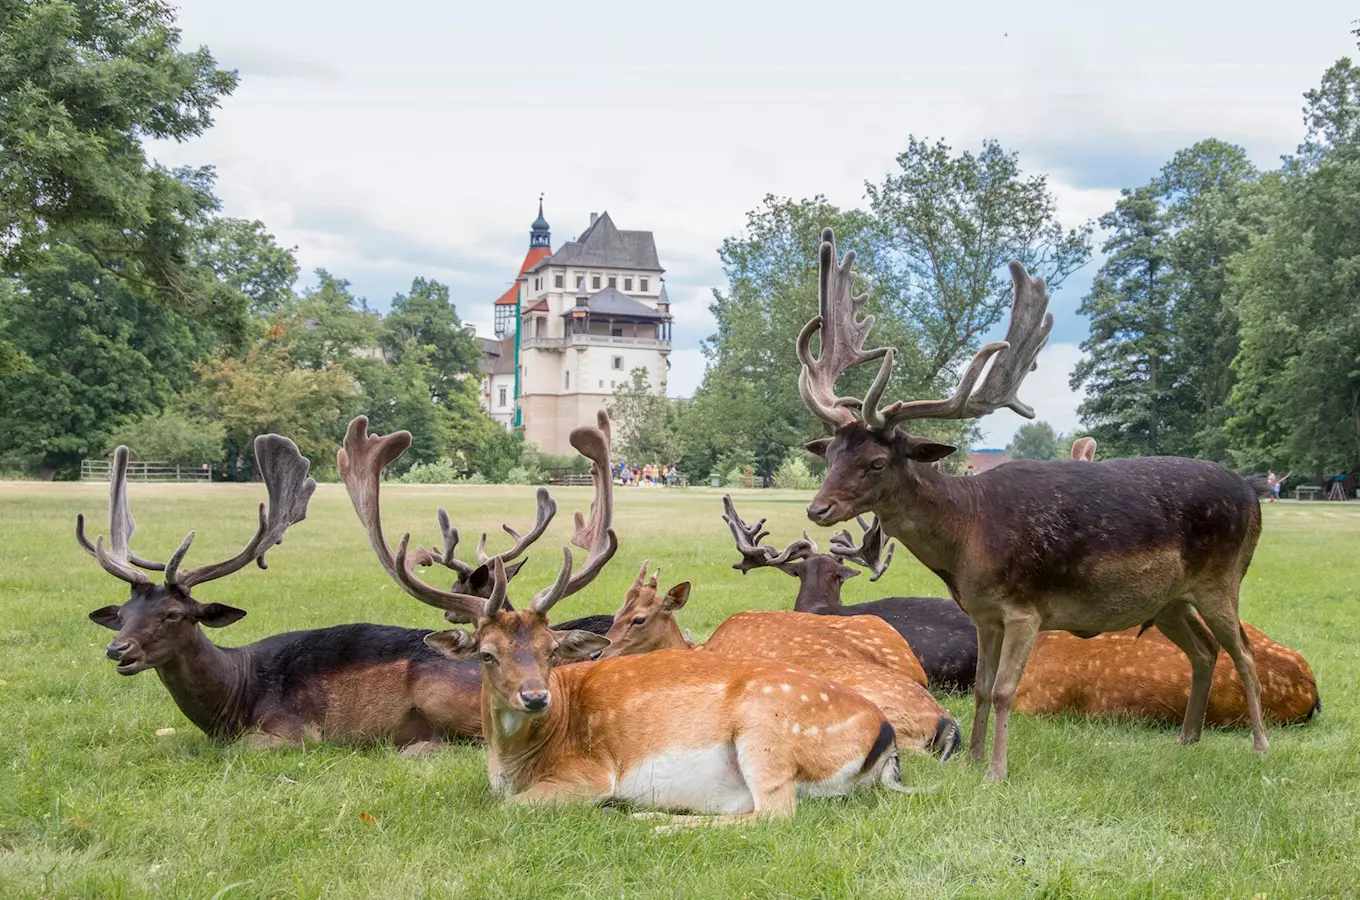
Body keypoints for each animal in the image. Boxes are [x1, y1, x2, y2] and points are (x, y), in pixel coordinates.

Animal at [799, 227, 1267, 783]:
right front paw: (973, 761)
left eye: (875, 461)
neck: (968, 541)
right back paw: (1187, 739)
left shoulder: (1027, 608)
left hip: (1223, 579)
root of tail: (1253, 495)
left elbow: (1004, 690)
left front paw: (996, 772)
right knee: (1205, 650)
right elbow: (981, 688)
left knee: (1243, 653)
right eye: (830, 453)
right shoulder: (984, 615)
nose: (817, 510)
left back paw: (1260, 746)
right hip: (1169, 600)